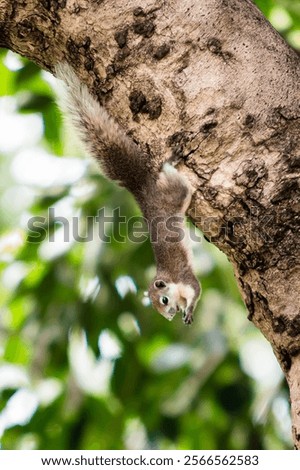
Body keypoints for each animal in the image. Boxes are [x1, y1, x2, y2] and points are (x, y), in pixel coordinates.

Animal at [55, 64, 200, 324]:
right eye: (159, 306)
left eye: (164, 300)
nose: (170, 316)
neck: (171, 280)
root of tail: (142, 187)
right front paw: (186, 311)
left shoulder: (185, 278)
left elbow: (196, 289)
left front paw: (190, 309)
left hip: (176, 193)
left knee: (171, 177)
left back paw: (170, 159)